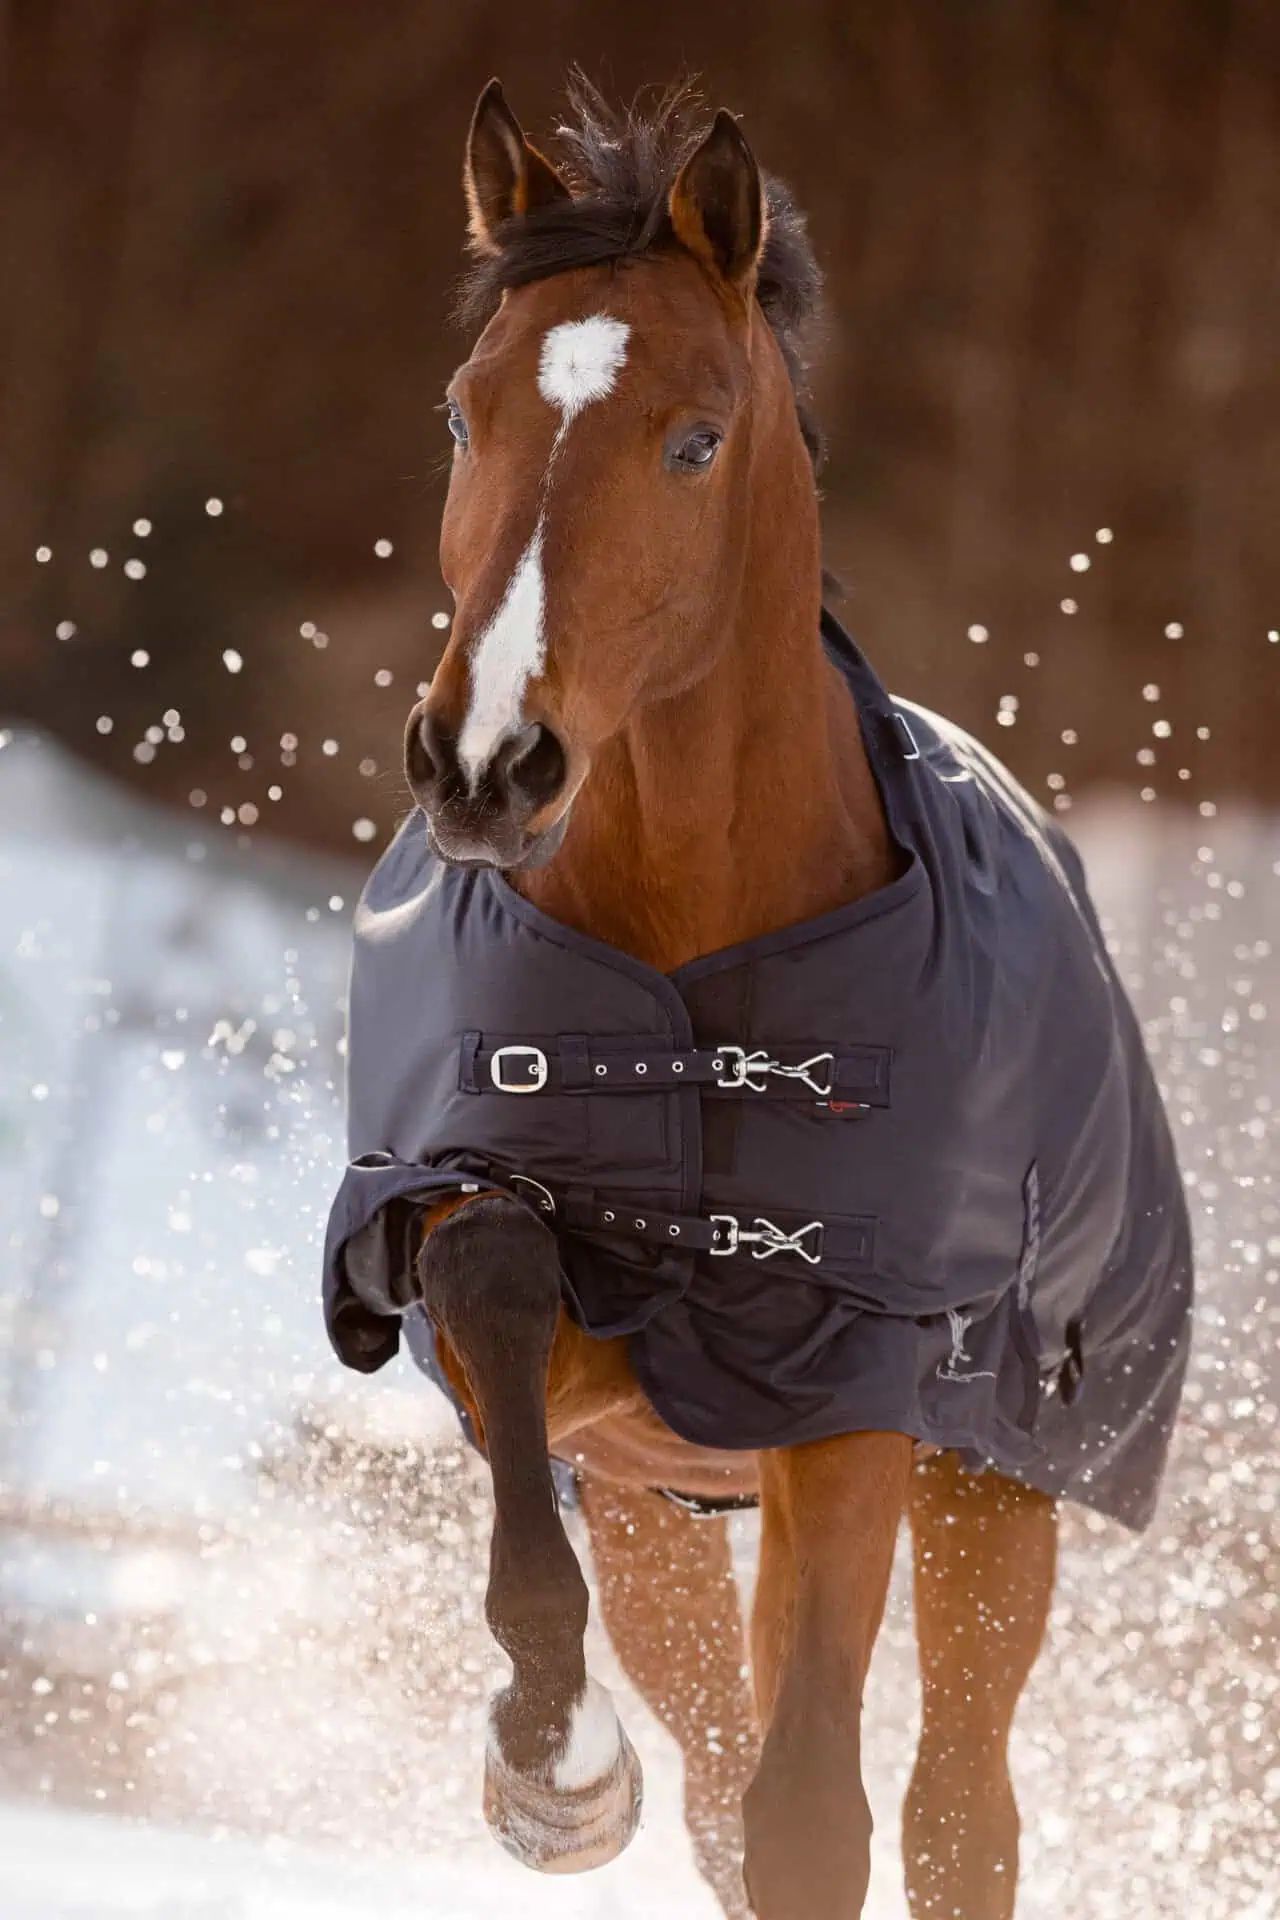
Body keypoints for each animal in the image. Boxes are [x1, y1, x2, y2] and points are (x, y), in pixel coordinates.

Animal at [323, 77, 1191, 1920]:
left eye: (696, 439)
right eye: (460, 413)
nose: (487, 766)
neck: (690, 950)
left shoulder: (849, 1377)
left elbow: (819, 1818)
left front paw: (564, 1761)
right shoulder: (533, 1332)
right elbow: (494, 1271)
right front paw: (555, 1766)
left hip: (994, 1499)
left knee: (946, 1819)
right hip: (677, 1510)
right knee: (736, 1790)